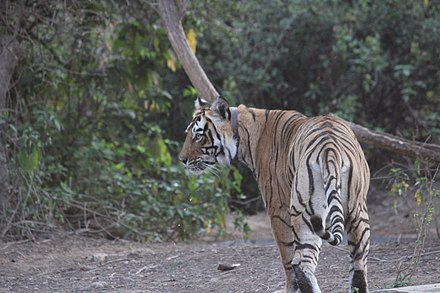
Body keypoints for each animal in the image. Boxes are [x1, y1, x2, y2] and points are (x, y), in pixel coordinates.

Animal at [180, 96, 372, 292]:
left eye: (198, 136)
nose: (182, 160)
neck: (243, 133)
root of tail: (330, 151)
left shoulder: (278, 209)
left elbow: (286, 256)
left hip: (303, 212)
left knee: (300, 264)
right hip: (356, 211)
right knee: (358, 263)